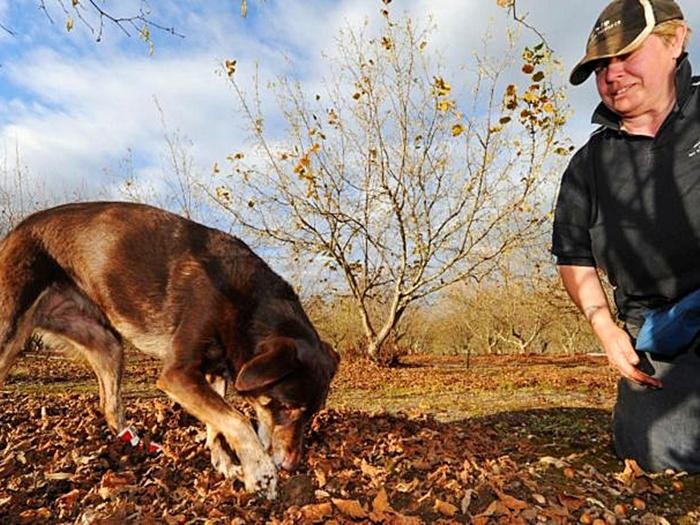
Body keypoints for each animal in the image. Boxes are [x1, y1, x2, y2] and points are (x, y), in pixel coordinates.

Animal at [0, 200, 340, 496]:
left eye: (312, 413)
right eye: (288, 406)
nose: (291, 466)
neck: (246, 305)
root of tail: (15, 231)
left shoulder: (214, 373)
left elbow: (217, 424)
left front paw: (226, 465)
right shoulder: (177, 374)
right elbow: (237, 420)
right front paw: (260, 473)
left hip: (106, 343)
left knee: (109, 406)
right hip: (9, 331)